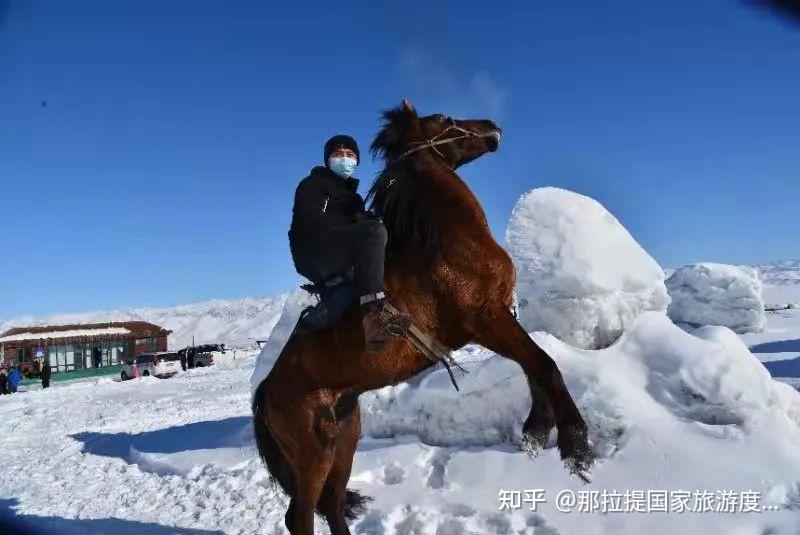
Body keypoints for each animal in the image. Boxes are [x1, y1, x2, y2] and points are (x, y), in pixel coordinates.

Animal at [253, 100, 592, 535]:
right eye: (444, 119)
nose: (491, 125)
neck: (448, 242)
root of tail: (266, 391)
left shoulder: (499, 318)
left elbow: (533, 367)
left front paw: (535, 431)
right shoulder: (487, 320)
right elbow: (544, 365)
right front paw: (575, 445)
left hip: (345, 435)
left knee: (331, 503)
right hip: (315, 452)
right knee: (301, 516)